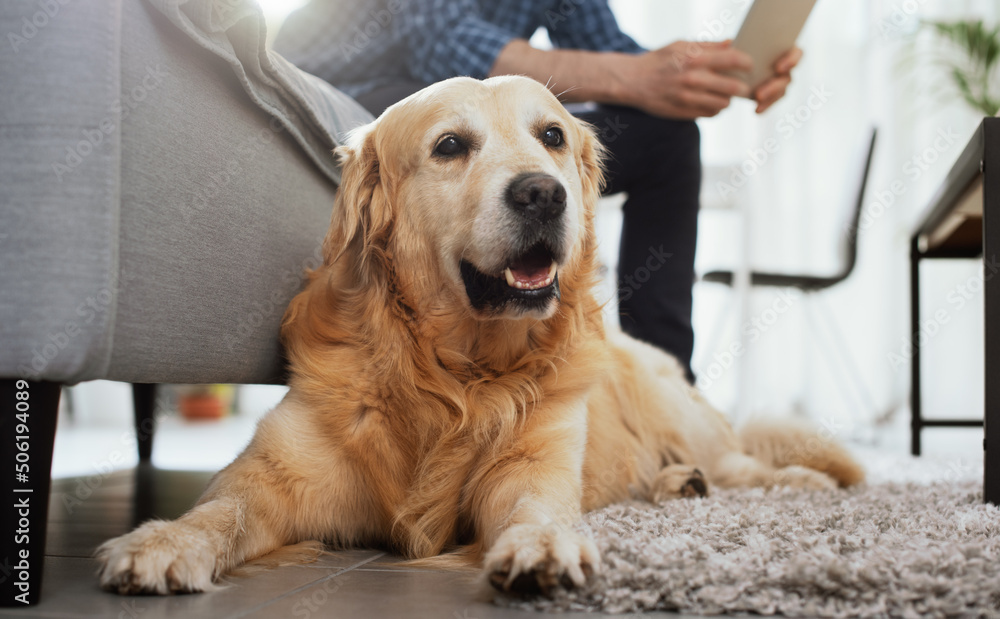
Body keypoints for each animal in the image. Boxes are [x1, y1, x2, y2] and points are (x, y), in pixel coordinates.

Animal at [95, 75, 868, 600]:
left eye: (552, 136)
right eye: (449, 147)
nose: (542, 194)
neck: (455, 372)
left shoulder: (530, 465)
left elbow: (536, 506)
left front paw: (547, 545)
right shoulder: (272, 477)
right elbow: (219, 509)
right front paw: (163, 540)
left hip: (678, 410)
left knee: (744, 460)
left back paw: (785, 481)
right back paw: (678, 484)